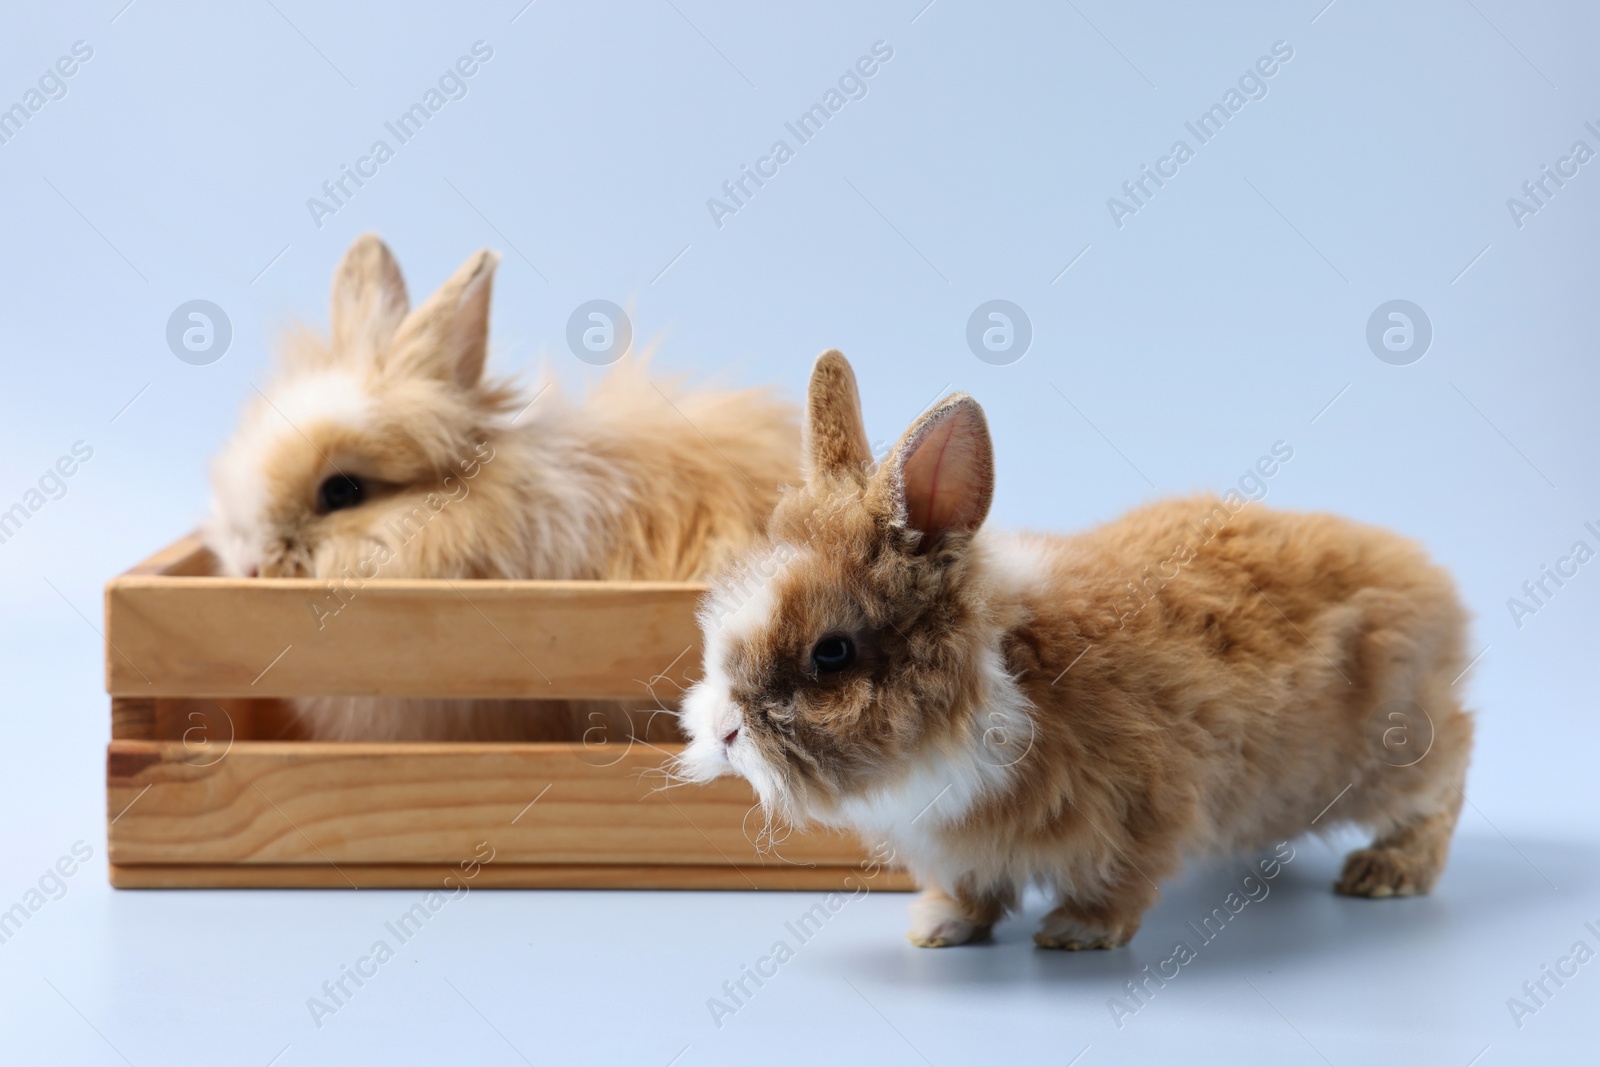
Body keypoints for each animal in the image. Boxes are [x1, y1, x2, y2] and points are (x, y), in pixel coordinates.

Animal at [675, 351, 1472, 953]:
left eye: (832, 652)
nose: (723, 731)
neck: (1000, 674)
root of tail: (1429, 578)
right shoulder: (959, 846)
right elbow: (971, 889)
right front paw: (938, 927)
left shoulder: (1146, 804)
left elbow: (1118, 881)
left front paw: (1075, 933)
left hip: (1398, 751)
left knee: (1445, 786)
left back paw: (1385, 871)